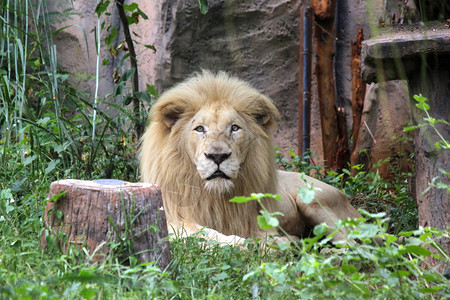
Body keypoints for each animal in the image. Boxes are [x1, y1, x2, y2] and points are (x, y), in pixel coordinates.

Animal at [141, 71, 362, 246]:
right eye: (200, 129)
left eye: (234, 128)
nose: (218, 156)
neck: (214, 197)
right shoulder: (171, 218)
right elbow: (198, 232)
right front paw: (239, 243)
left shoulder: (256, 223)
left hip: (315, 202)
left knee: (352, 244)